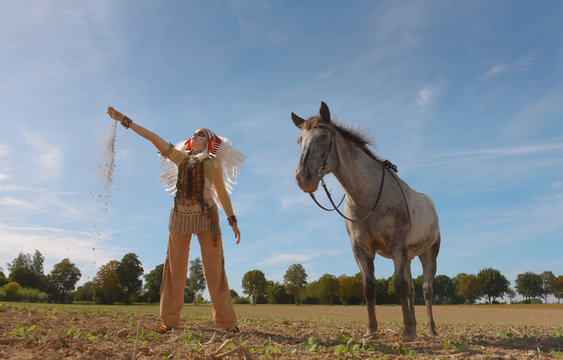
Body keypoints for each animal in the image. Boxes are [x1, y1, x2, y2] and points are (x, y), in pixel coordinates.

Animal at [294, 101, 442, 340]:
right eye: (300, 140)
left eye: (324, 137)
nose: (303, 178)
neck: (368, 194)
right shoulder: (361, 248)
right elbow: (369, 288)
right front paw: (371, 331)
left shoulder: (396, 244)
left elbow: (399, 285)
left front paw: (408, 333)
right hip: (408, 255)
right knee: (412, 289)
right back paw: (415, 325)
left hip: (428, 253)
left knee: (426, 289)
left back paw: (430, 328)